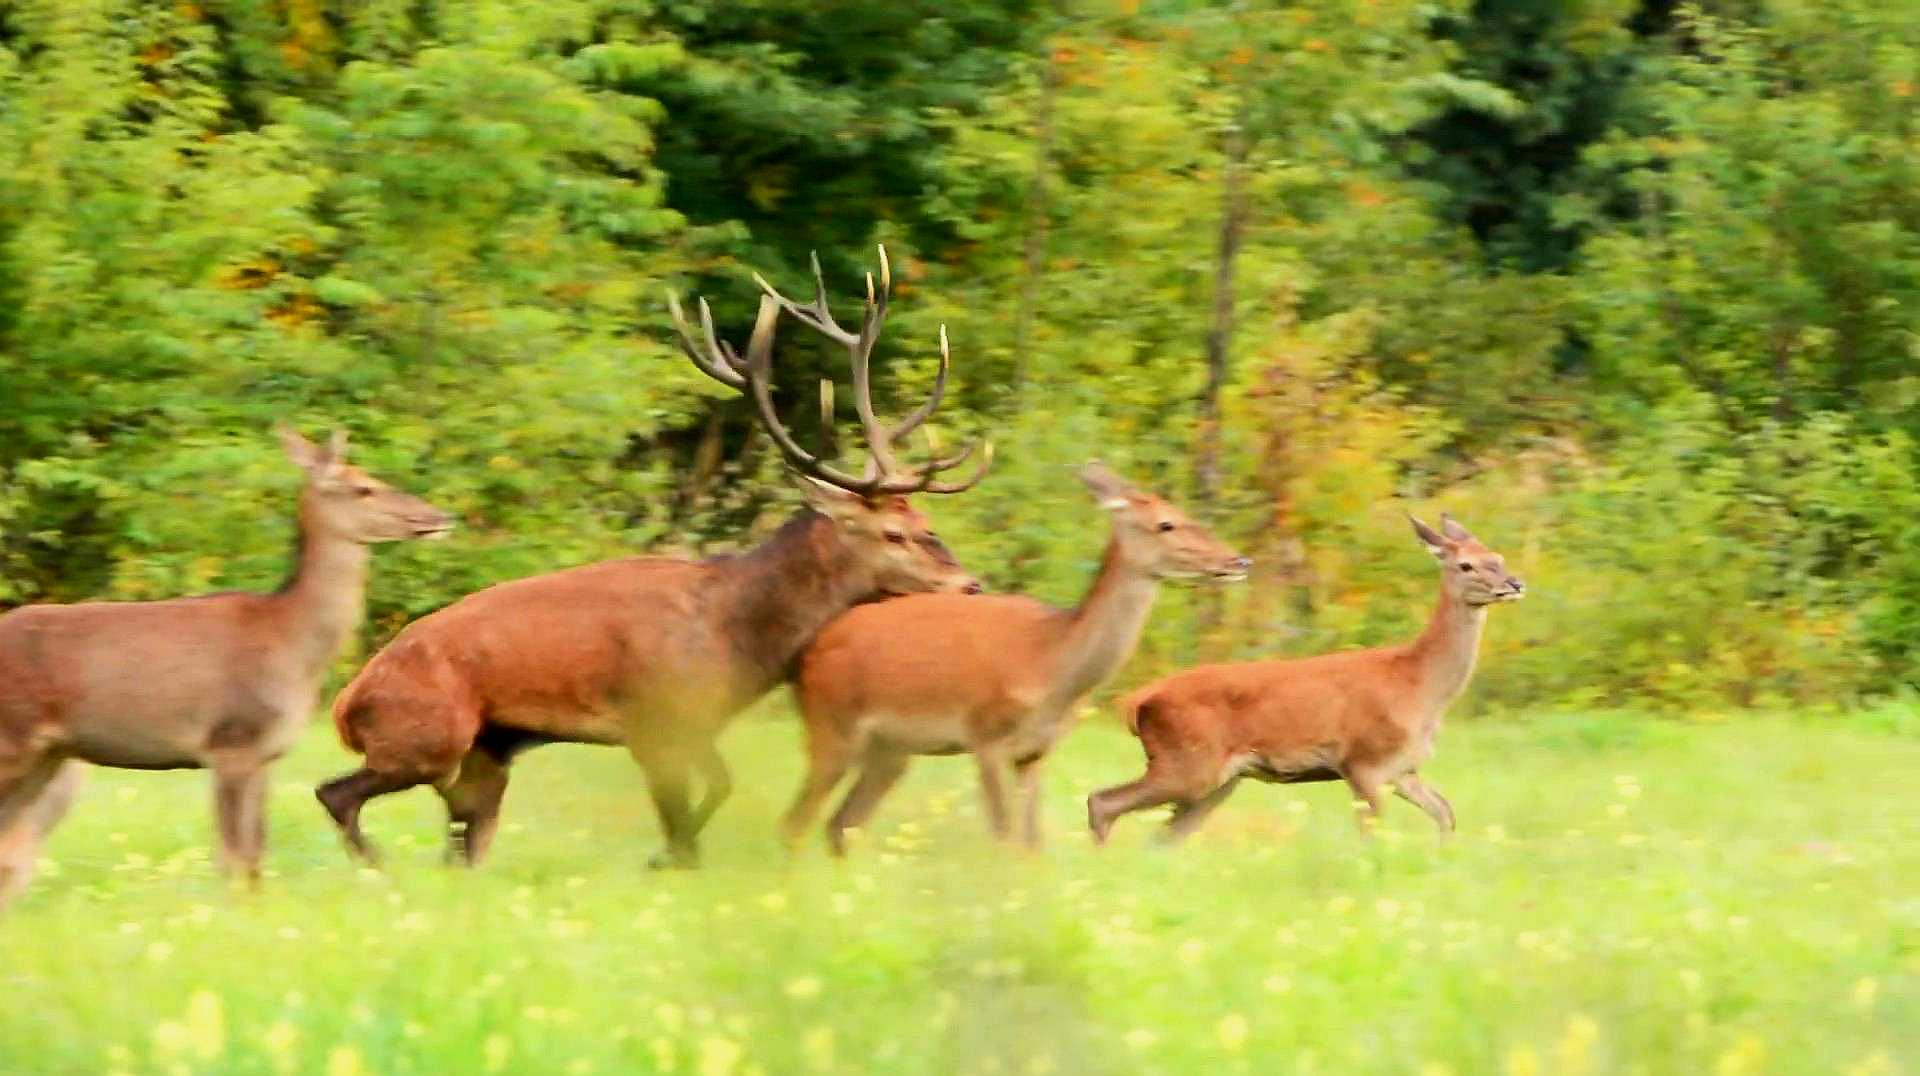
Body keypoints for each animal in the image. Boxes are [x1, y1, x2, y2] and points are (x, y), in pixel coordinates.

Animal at [0, 424, 449, 903]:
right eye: (363, 487)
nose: (440, 517)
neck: (292, 647)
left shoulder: (265, 753)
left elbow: (255, 856)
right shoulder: (230, 740)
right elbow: (232, 855)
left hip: (49, 754)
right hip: (15, 736)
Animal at [316, 247, 990, 868]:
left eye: (925, 522)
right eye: (895, 534)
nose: (969, 586)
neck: (740, 640)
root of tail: (347, 704)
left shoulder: (697, 726)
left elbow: (716, 790)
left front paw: (667, 856)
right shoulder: (652, 721)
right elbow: (688, 816)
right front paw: (668, 858)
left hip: (485, 755)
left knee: (459, 838)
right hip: (426, 735)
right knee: (336, 793)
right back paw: (374, 864)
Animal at [787, 464, 1251, 856]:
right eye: (1165, 523)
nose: (1238, 560)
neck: (1051, 664)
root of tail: (812, 648)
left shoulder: (1036, 752)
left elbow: (1032, 843)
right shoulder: (985, 736)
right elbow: (1005, 837)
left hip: (888, 749)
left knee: (838, 824)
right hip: (831, 723)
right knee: (798, 818)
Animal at [1090, 507, 1520, 845]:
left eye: (1497, 556)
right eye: (1465, 565)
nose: (1514, 583)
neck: (1421, 685)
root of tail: (1137, 702)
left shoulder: (1403, 769)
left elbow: (1445, 813)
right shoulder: (1362, 760)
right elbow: (1372, 834)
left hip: (1217, 778)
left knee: (1160, 835)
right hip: (1187, 763)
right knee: (1102, 801)